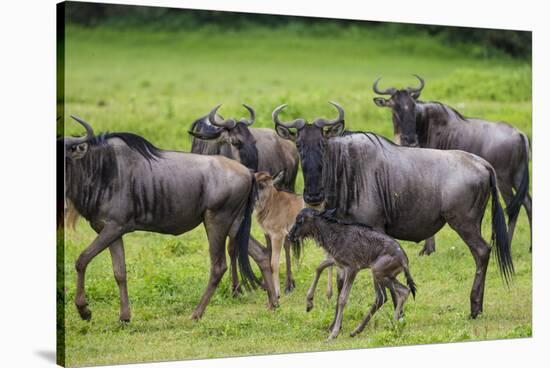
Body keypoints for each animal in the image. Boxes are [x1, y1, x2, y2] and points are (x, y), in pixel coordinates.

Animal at [292, 208, 416, 340]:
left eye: (299, 221)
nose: (290, 235)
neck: (334, 234)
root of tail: (404, 260)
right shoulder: (338, 262)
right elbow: (319, 267)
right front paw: (309, 302)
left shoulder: (352, 268)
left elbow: (342, 298)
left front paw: (334, 333)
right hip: (384, 275)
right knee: (392, 294)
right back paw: (363, 330)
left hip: (377, 272)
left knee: (393, 293)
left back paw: (391, 325)